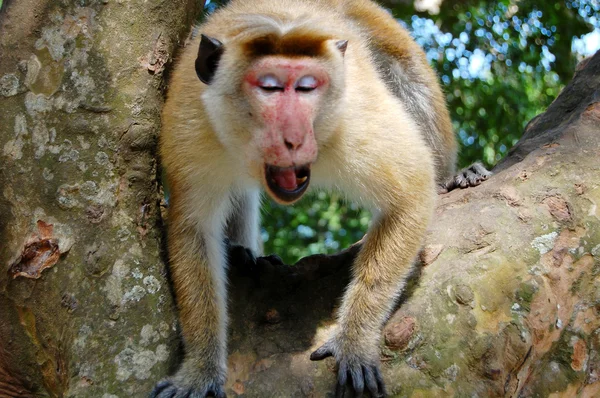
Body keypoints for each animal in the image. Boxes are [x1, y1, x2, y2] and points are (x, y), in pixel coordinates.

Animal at [151, 1, 492, 396]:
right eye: (268, 88)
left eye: (307, 88)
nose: (295, 136)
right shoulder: (190, 128)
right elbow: (193, 230)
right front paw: (201, 368)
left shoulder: (353, 121)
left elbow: (413, 188)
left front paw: (354, 340)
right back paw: (242, 254)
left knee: (404, 66)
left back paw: (453, 174)